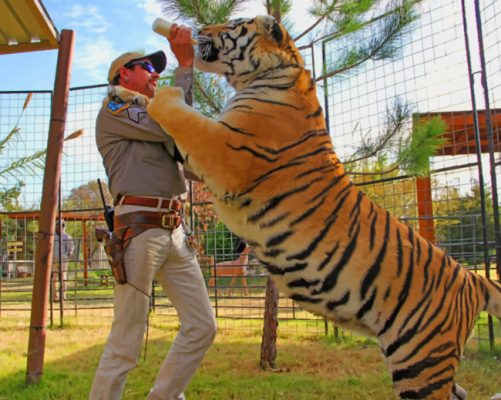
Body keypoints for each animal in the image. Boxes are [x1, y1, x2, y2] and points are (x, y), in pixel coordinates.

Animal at [146, 14, 500, 396]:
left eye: (234, 23)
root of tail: (473, 279)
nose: (198, 30)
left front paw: (158, 92)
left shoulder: (224, 151)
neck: (271, 74)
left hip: (420, 361)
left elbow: (181, 115)